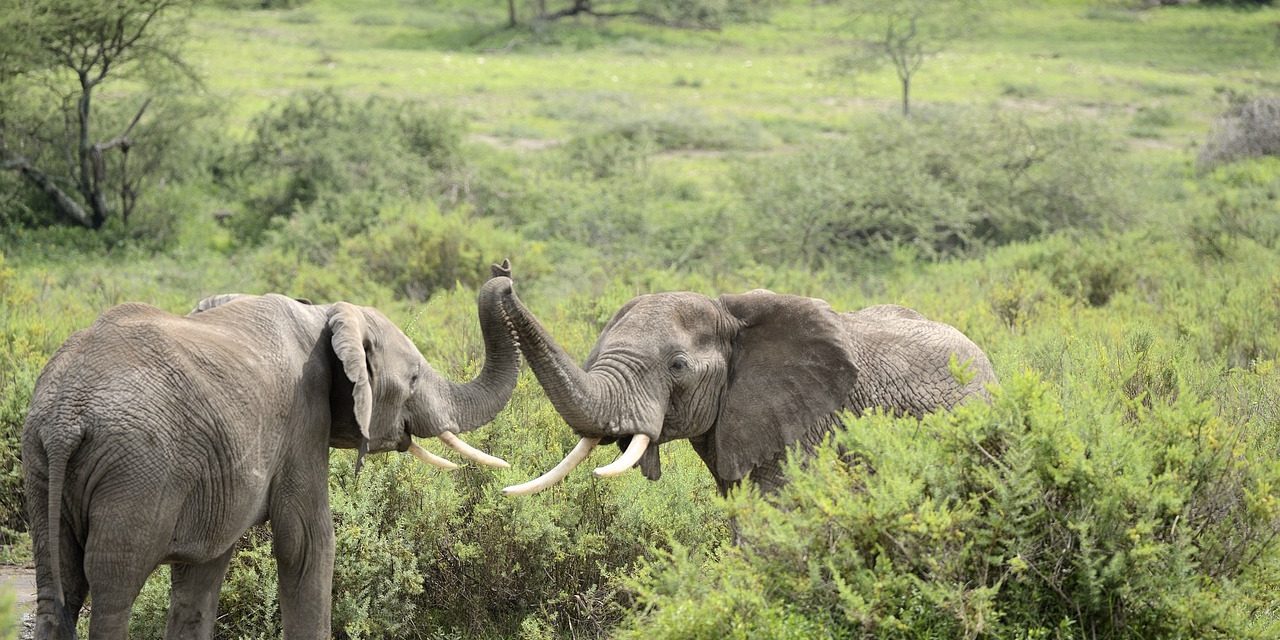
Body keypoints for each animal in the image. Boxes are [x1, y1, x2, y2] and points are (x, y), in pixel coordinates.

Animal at [21, 261, 519, 640]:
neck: (325, 315)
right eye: (413, 378)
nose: (504, 272)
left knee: (58, 586)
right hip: (136, 472)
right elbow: (307, 542)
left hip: (42, 465)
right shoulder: (304, 416)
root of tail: (65, 417)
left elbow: (203, 571)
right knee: (112, 589)